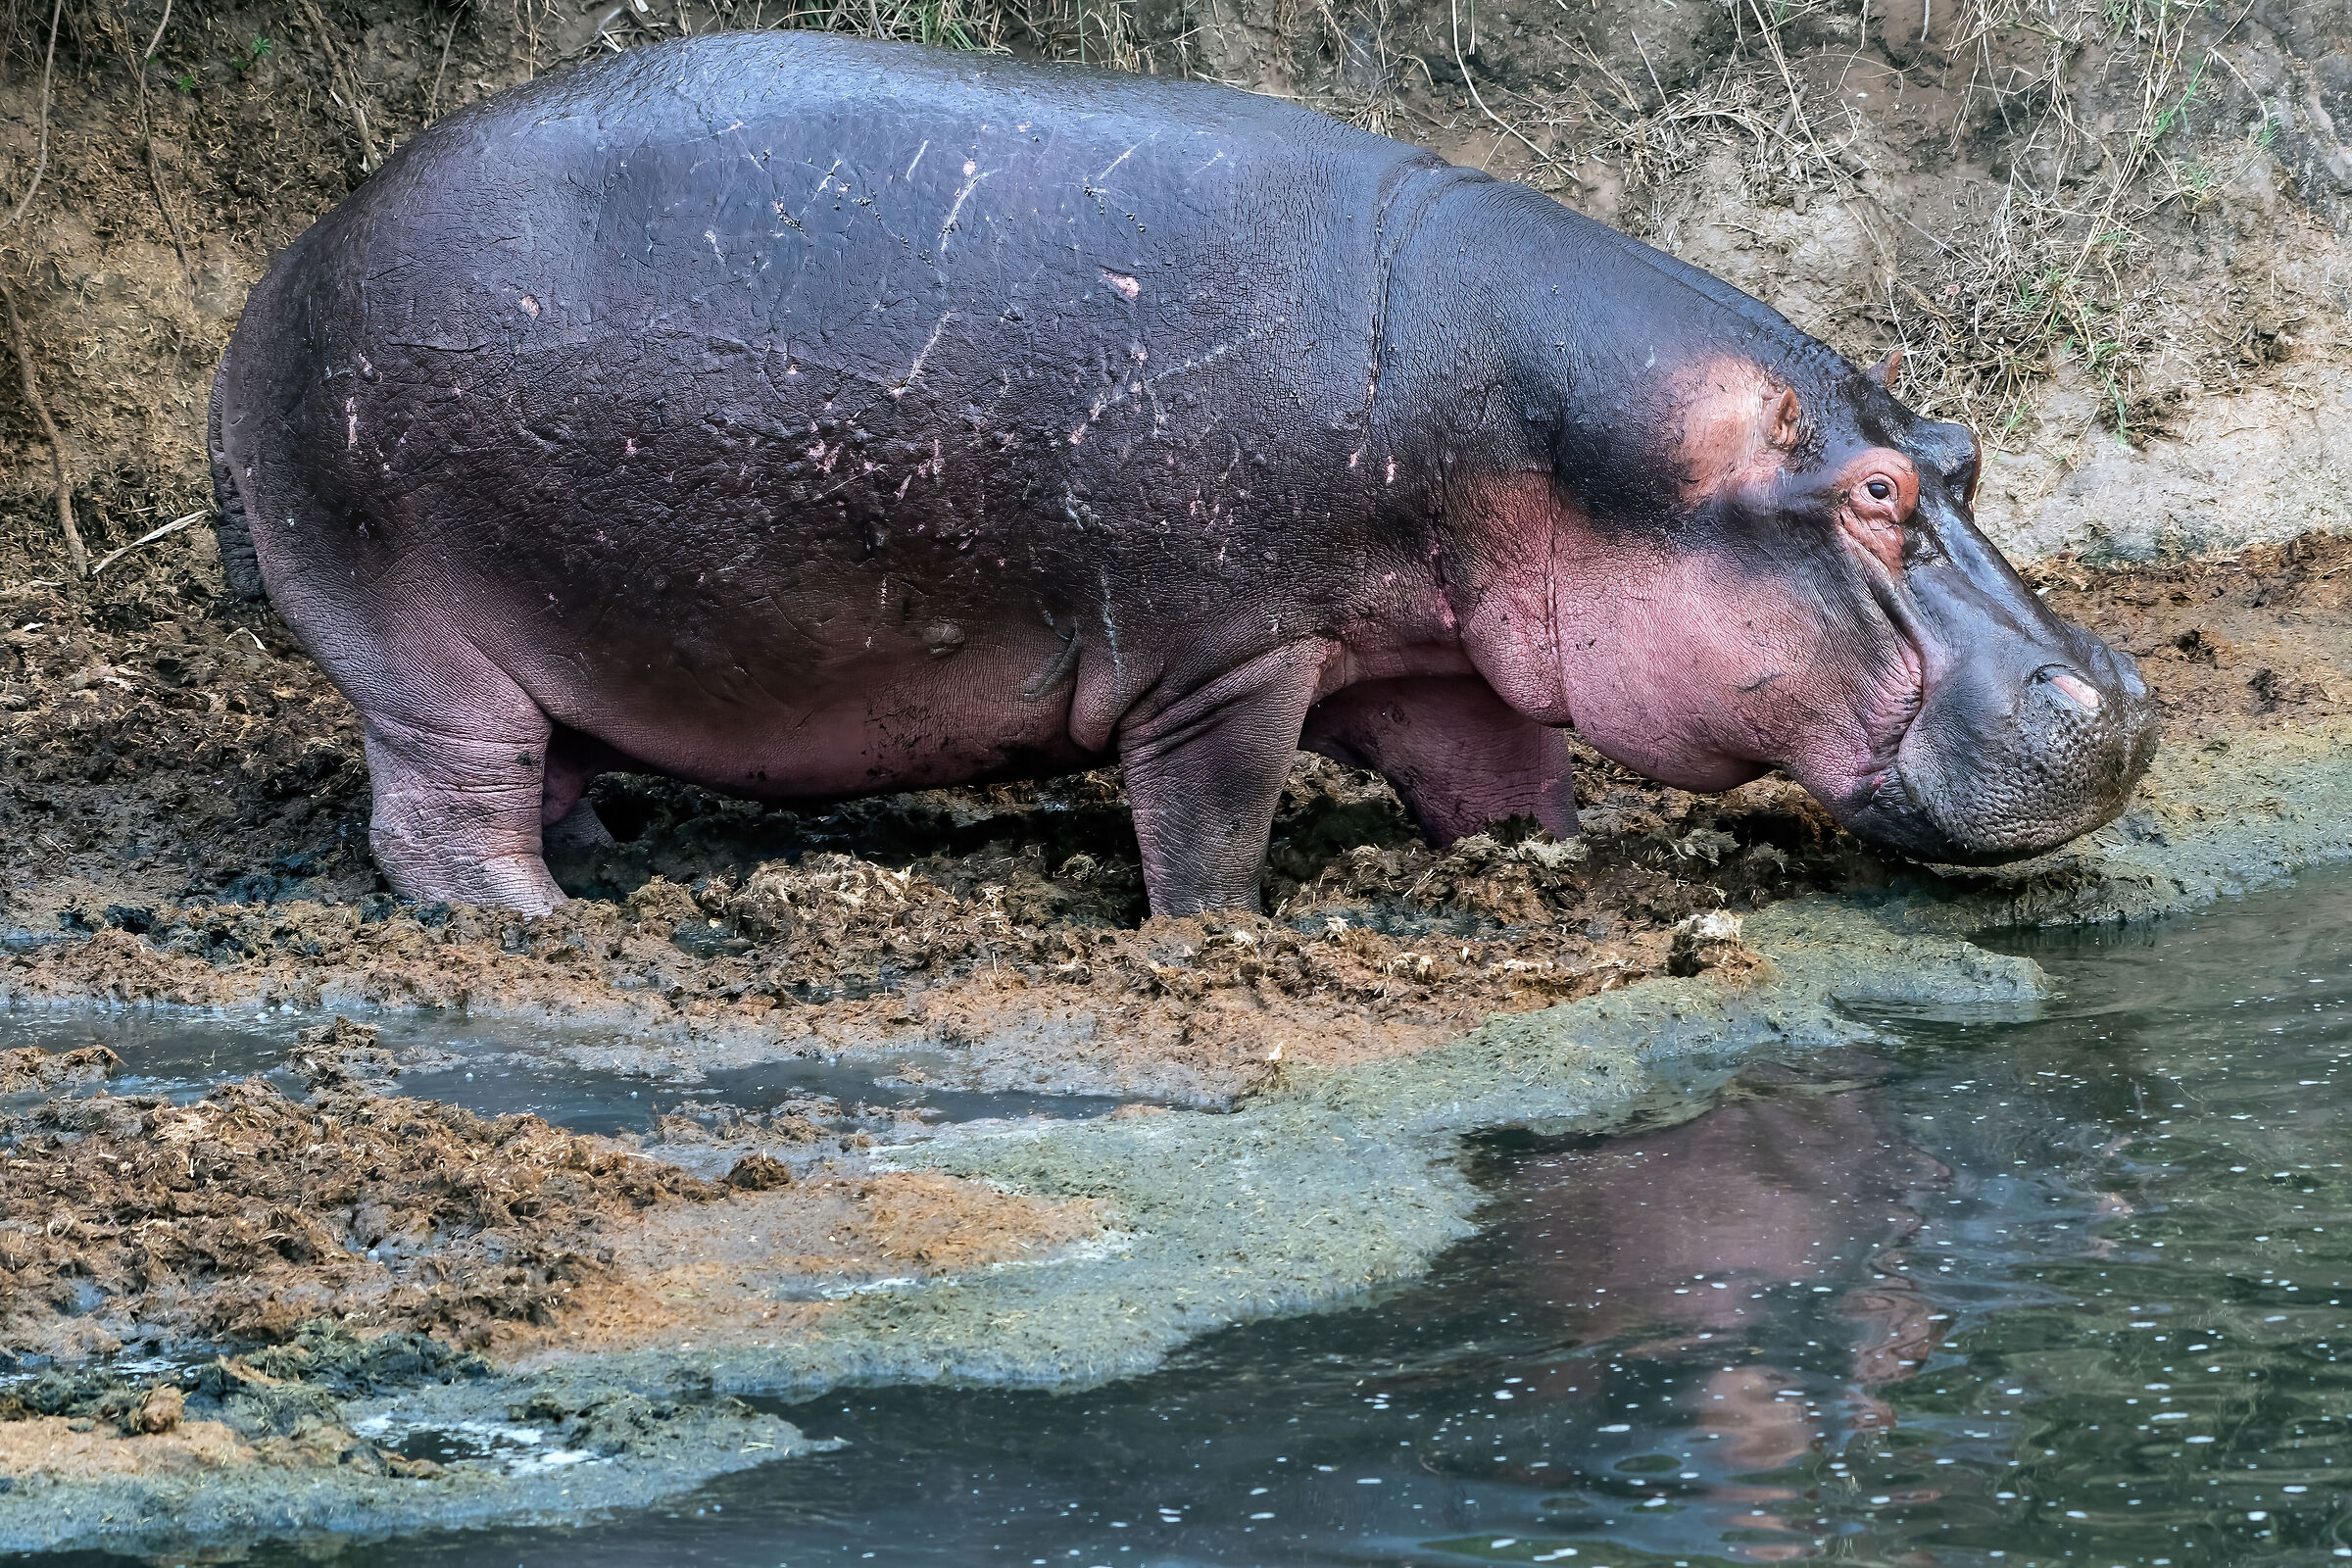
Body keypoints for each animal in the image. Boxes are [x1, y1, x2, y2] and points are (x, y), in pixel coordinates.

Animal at [208, 31, 2156, 916]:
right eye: (1878, 499)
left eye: (1962, 450)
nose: (2128, 697)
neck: (1535, 425)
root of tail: (276, 281)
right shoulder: (1232, 647)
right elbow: (1211, 811)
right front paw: (1225, 927)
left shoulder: (1434, 648)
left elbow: (1504, 764)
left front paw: (1531, 860)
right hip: (414, 633)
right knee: (437, 806)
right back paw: (544, 922)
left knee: (534, 761)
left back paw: (603, 844)